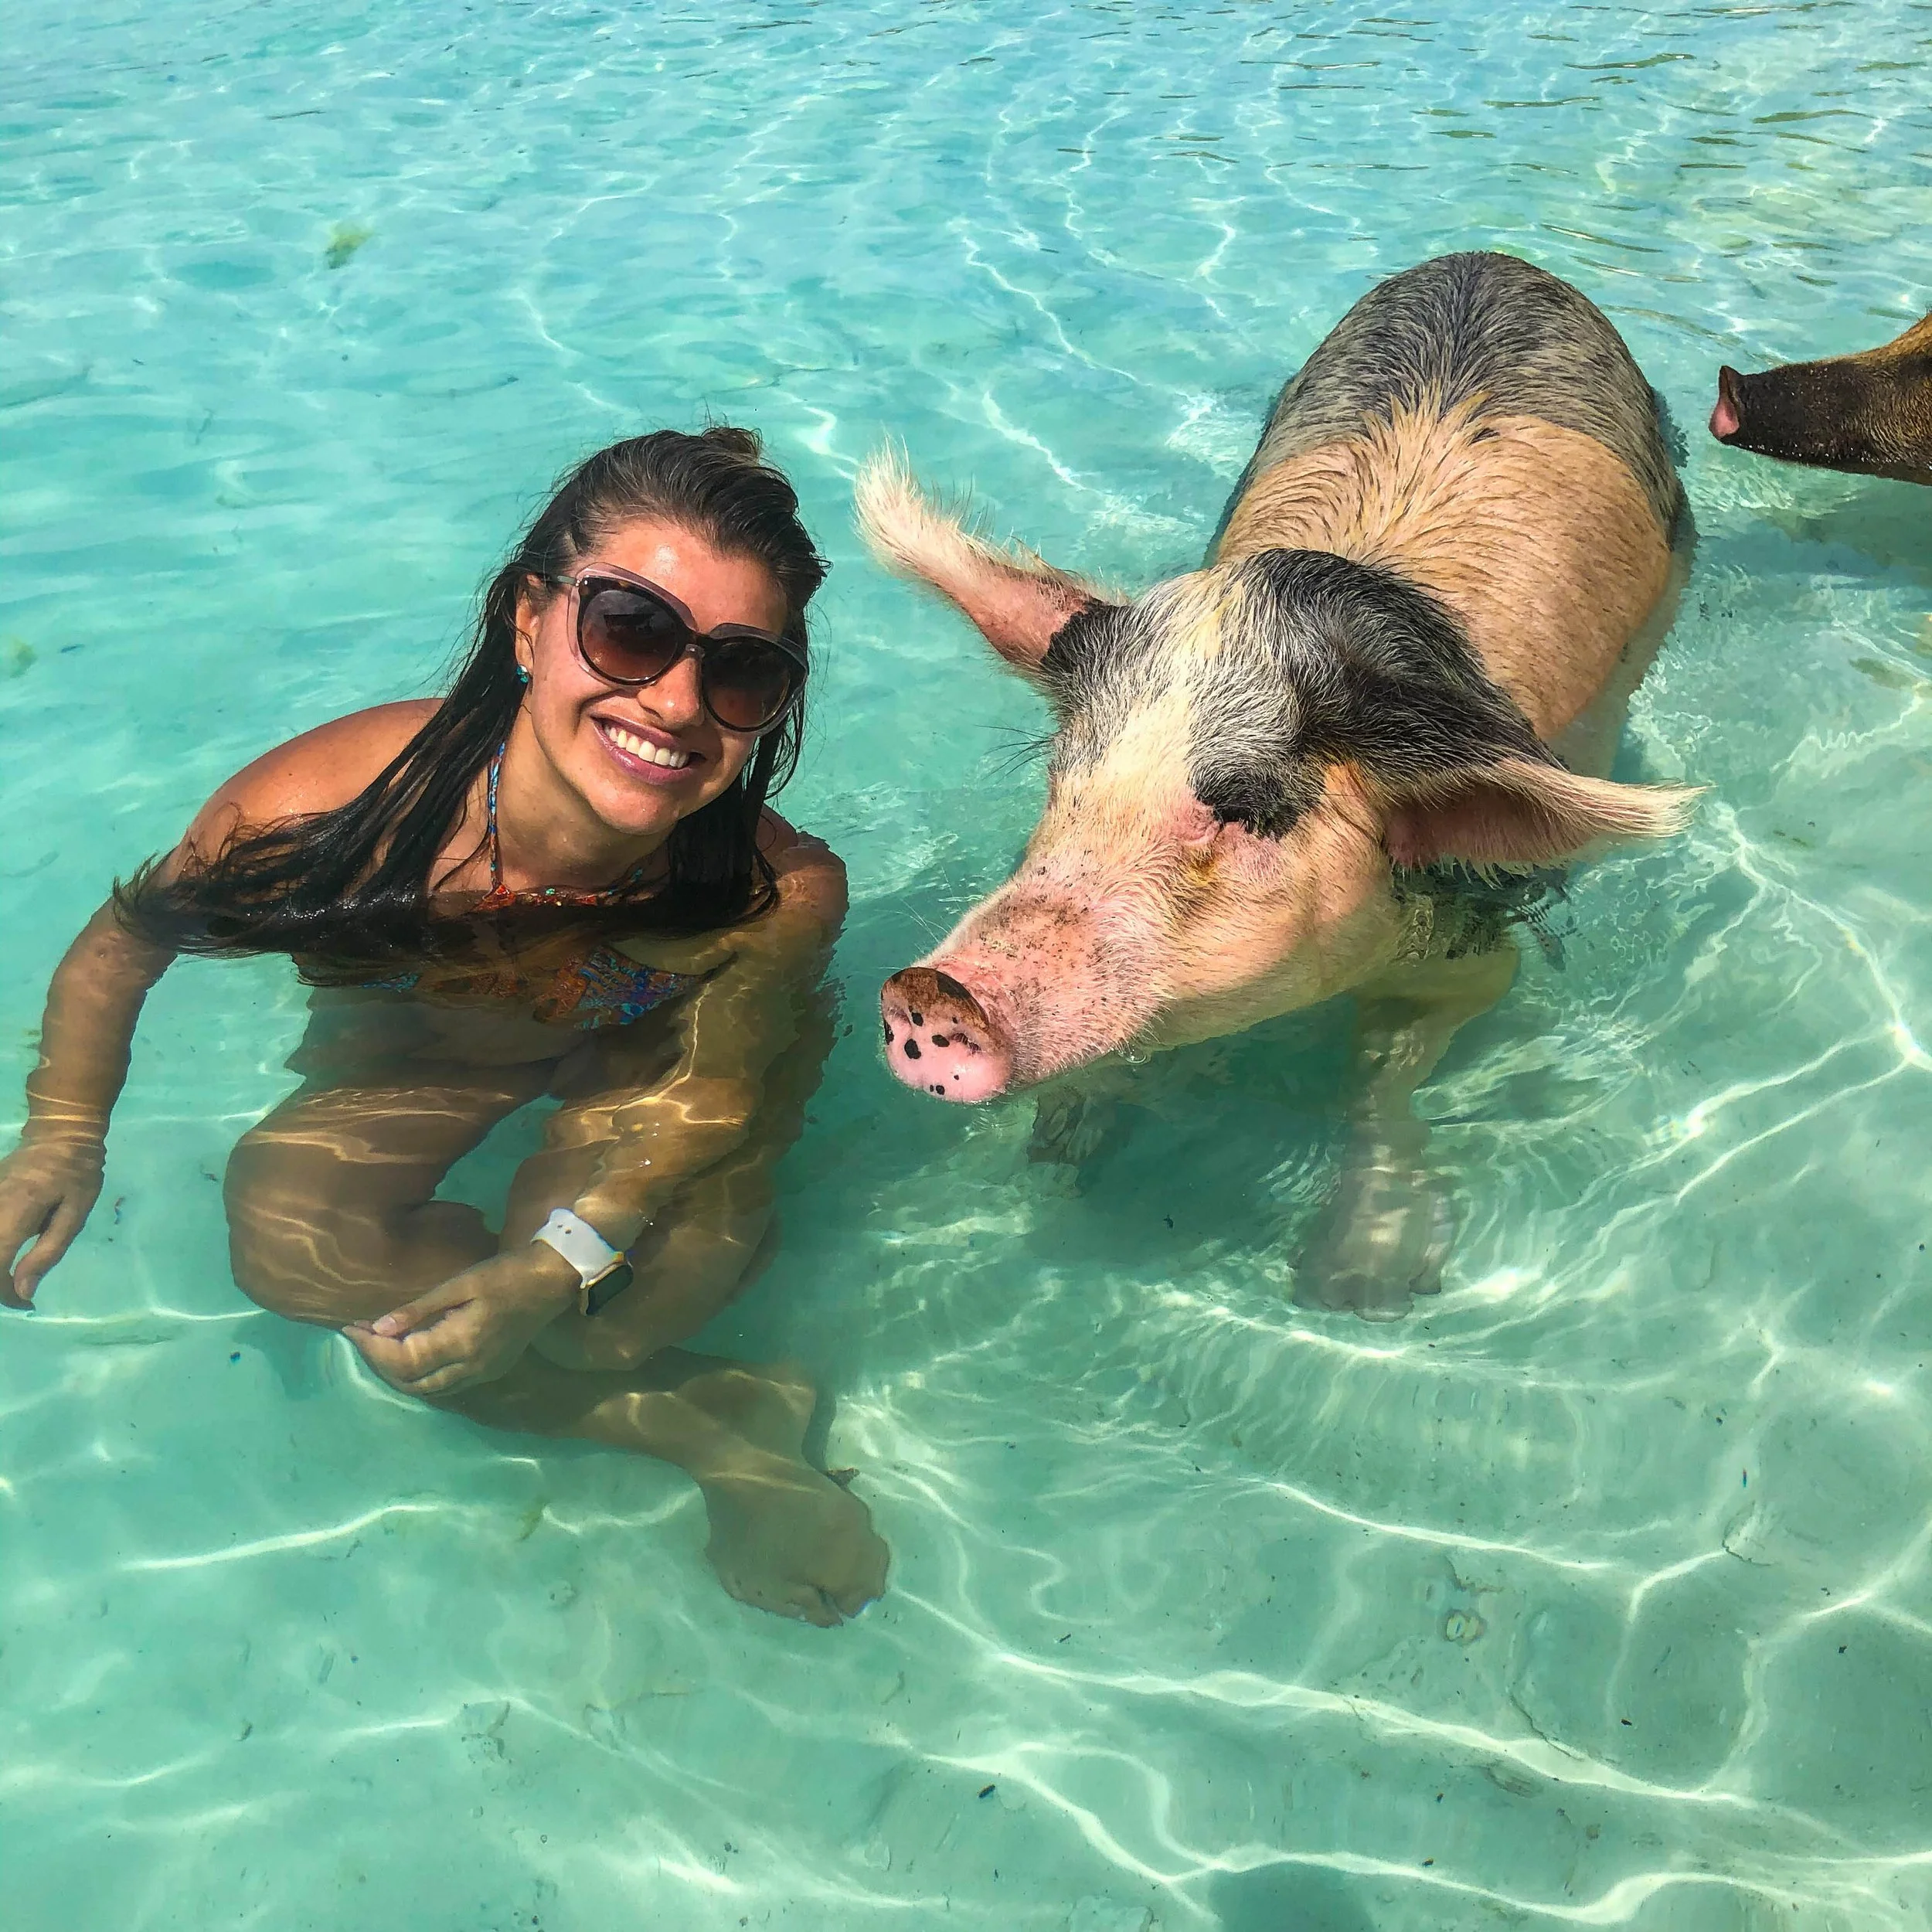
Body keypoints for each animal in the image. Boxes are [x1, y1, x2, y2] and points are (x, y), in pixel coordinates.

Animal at [859, 252, 1698, 1315]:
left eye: (1243, 813)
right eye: (1060, 783)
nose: (932, 988)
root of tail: (1494, 261)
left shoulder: (1473, 935)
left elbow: (1379, 1075)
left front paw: (1360, 1285)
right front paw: (1060, 1153)